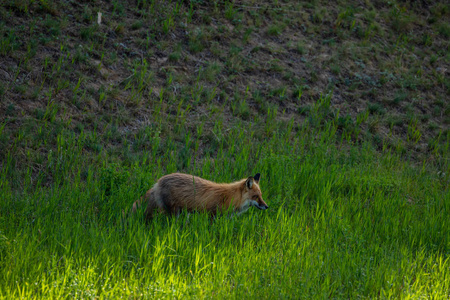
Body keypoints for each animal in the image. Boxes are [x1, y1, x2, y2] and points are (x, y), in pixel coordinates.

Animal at [133, 172, 268, 219]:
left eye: (261, 195)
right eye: (256, 197)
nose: (267, 206)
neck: (231, 197)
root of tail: (158, 181)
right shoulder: (212, 216)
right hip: (175, 213)